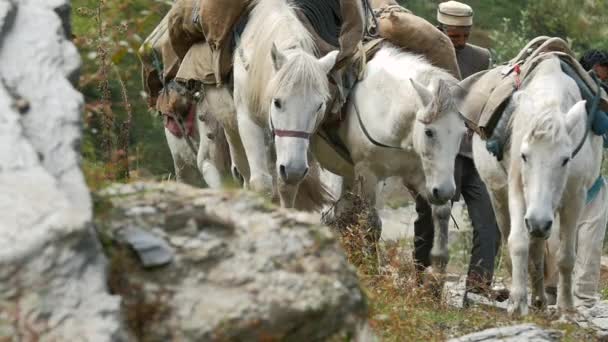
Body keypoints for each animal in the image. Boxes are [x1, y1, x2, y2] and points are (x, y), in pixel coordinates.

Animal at [233, 0, 338, 208]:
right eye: (277, 102)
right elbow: (261, 182)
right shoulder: (247, 120)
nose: (294, 169)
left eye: (319, 106)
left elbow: (287, 187)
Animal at [314, 46, 466, 274]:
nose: (446, 190)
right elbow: (371, 223)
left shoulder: (420, 176)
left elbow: (441, 211)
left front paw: (438, 267)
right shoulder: (367, 174)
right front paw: (371, 269)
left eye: (462, 134)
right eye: (429, 132)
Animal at [472, 56, 600, 316]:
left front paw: (567, 308)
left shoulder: (575, 197)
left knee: (540, 247)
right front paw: (518, 302)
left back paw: (541, 298)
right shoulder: (517, 191)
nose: (537, 221)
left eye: (565, 159)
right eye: (524, 156)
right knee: (515, 241)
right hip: (498, 197)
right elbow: (519, 243)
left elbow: (566, 255)